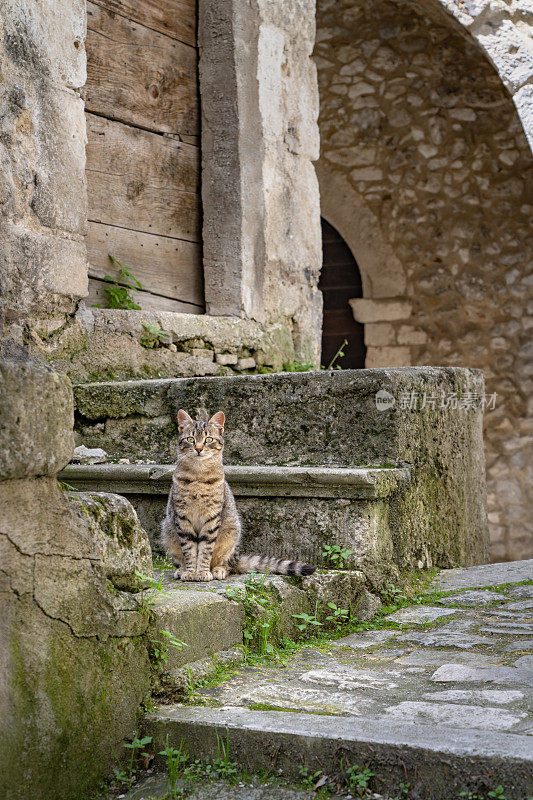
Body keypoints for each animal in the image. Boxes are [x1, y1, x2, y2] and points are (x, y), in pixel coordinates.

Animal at [160, 412, 314, 580]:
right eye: (190, 439)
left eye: (208, 439)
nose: (199, 449)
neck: (198, 475)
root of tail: (238, 557)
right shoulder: (182, 517)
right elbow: (189, 549)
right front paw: (190, 571)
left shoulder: (212, 517)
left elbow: (205, 549)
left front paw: (202, 572)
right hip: (168, 531)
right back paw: (181, 570)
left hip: (231, 534)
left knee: (228, 564)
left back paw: (218, 570)